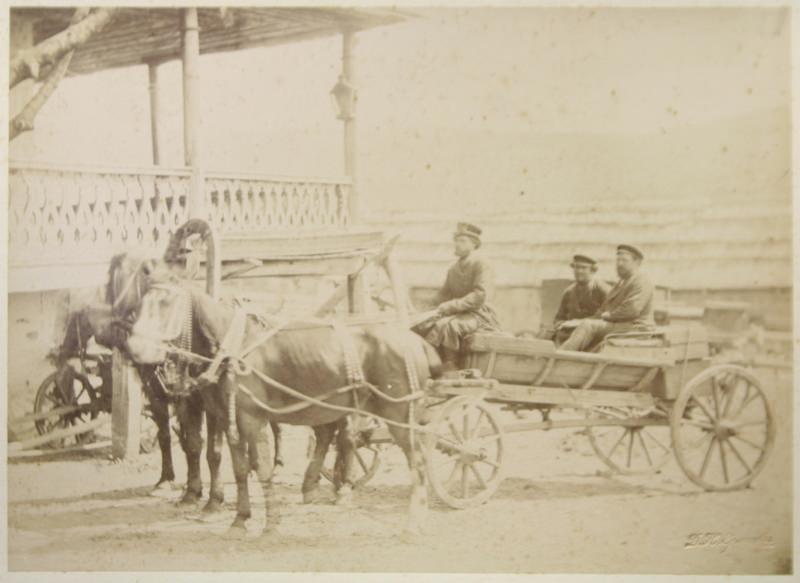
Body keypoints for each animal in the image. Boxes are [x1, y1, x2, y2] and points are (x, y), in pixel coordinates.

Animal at [123, 276, 444, 536]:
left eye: (166, 304)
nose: (135, 348)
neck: (234, 345)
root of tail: (416, 340)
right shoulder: (229, 420)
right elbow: (239, 469)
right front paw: (240, 520)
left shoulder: (252, 420)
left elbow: (262, 468)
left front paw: (271, 524)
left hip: (399, 414)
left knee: (415, 460)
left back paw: (411, 521)